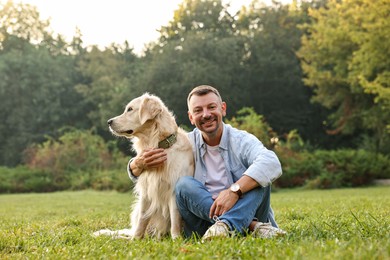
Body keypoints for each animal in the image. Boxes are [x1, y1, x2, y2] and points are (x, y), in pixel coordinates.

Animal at [99, 93, 193, 240]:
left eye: (130, 109)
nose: (109, 122)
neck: (158, 144)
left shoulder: (173, 190)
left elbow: (175, 220)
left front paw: (176, 239)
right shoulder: (146, 189)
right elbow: (142, 220)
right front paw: (136, 240)